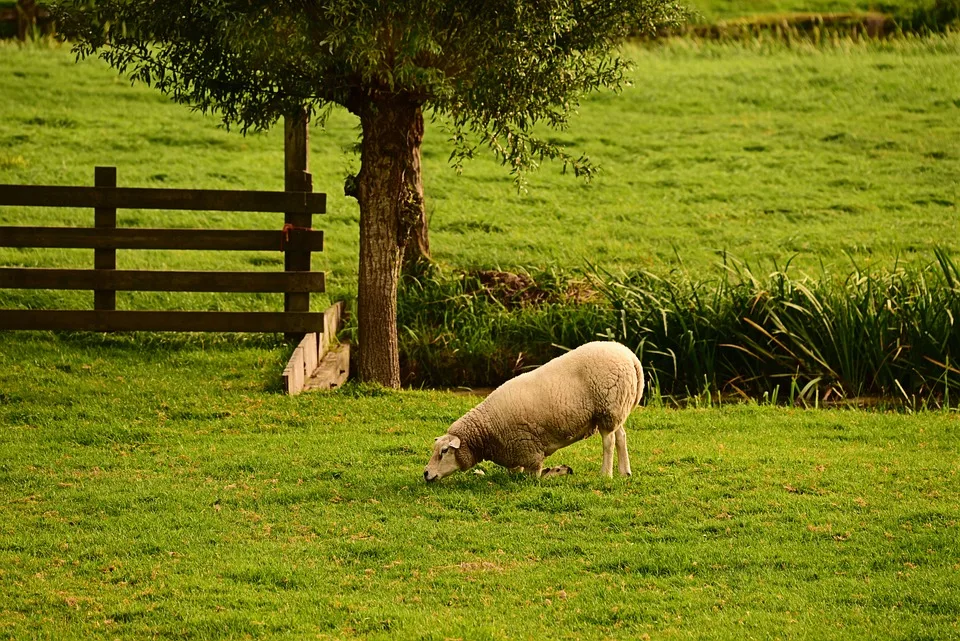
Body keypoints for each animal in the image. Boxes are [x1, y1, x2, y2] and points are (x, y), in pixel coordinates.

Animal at [422, 340, 640, 480]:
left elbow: (534, 476)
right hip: (617, 408)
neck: (485, 432)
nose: (425, 473)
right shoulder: (515, 453)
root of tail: (630, 355)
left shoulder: (529, 451)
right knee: (621, 436)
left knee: (609, 442)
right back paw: (625, 472)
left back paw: (606, 474)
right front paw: (559, 470)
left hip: (607, 408)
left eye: (444, 451)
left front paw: (555, 472)